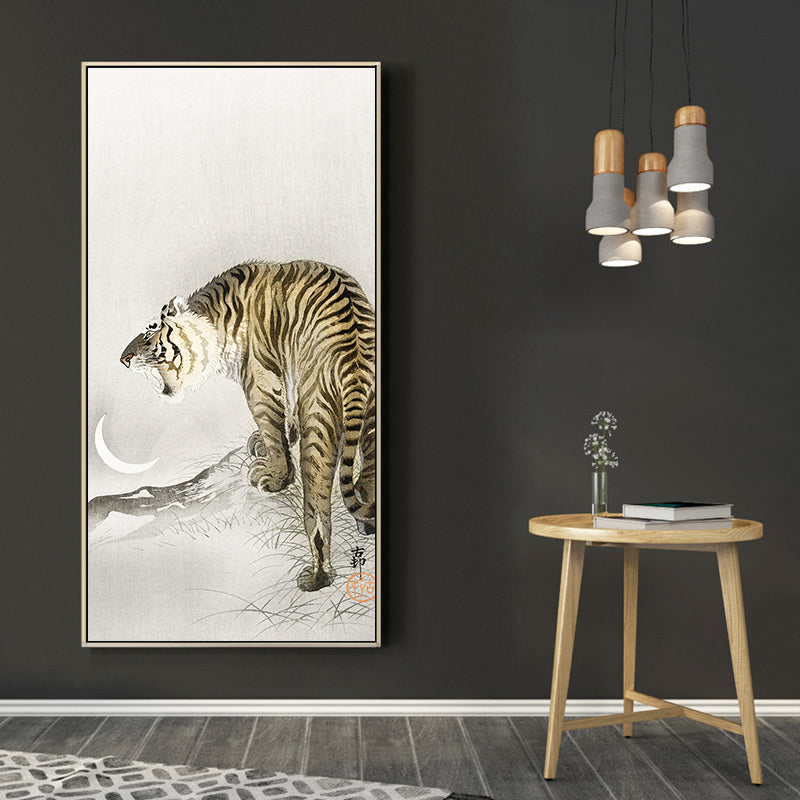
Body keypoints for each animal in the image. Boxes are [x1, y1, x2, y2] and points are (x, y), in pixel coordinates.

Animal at [119, 260, 376, 592]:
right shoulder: (286, 372)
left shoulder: (260, 380)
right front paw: (267, 442)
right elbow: (286, 416)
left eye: (150, 332)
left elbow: (271, 425)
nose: (123, 358)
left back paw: (317, 576)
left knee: (318, 510)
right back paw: (367, 523)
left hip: (319, 419)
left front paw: (274, 475)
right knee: (367, 480)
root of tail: (355, 359)